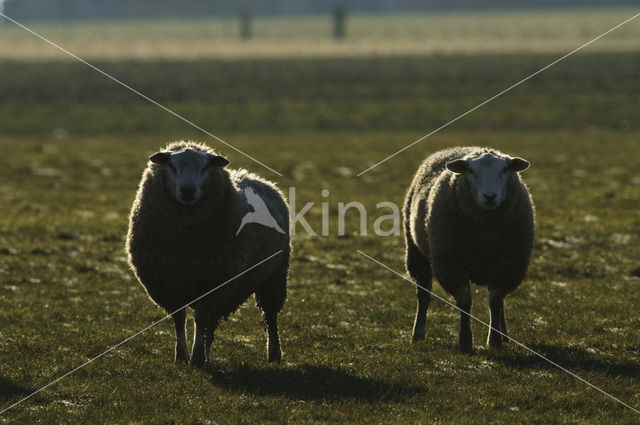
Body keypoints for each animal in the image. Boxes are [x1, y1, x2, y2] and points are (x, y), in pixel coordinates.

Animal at [126, 141, 292, 366]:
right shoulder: (167, 284)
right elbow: (180, 319)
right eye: (171, 165)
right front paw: (182, 355)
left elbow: (200, 318)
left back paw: (274, 353)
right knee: (211, 326)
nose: (188, 190)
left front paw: (196, 357)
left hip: (274, 276)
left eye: (205, 167)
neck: (185, 243)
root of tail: (257, 178)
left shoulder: (212, 282)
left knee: (270, 316)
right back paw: (208, 353)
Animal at [404, 146, 536, 352]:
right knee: (423, 295)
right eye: (471, 171)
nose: (490, 197)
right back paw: (418, 334)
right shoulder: (450, 264)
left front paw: (495, 340)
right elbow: (465, 301)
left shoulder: (510, 265)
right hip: (417, 254)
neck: (485, 232)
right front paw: (465, 341)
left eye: (505, 170)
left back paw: (505, 335)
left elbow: (495, 301)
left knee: (500, 303)